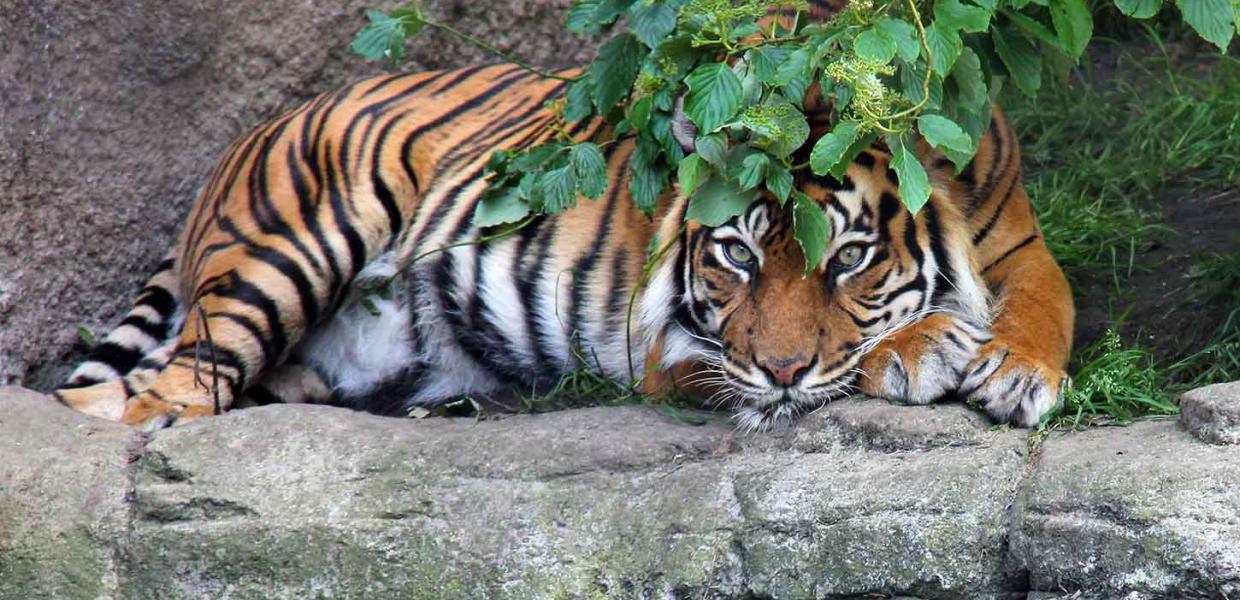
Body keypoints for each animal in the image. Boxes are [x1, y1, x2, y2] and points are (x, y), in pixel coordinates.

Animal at [50, 1, 1076, 431]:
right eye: (738, 257)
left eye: (849, 258)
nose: (779, 369)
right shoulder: (674, 349)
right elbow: (817, 366)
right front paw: (923, 347)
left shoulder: (1018, 239)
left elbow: (1045, 303)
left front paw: (1012, 372)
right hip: (290, 244)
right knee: (152, 396)